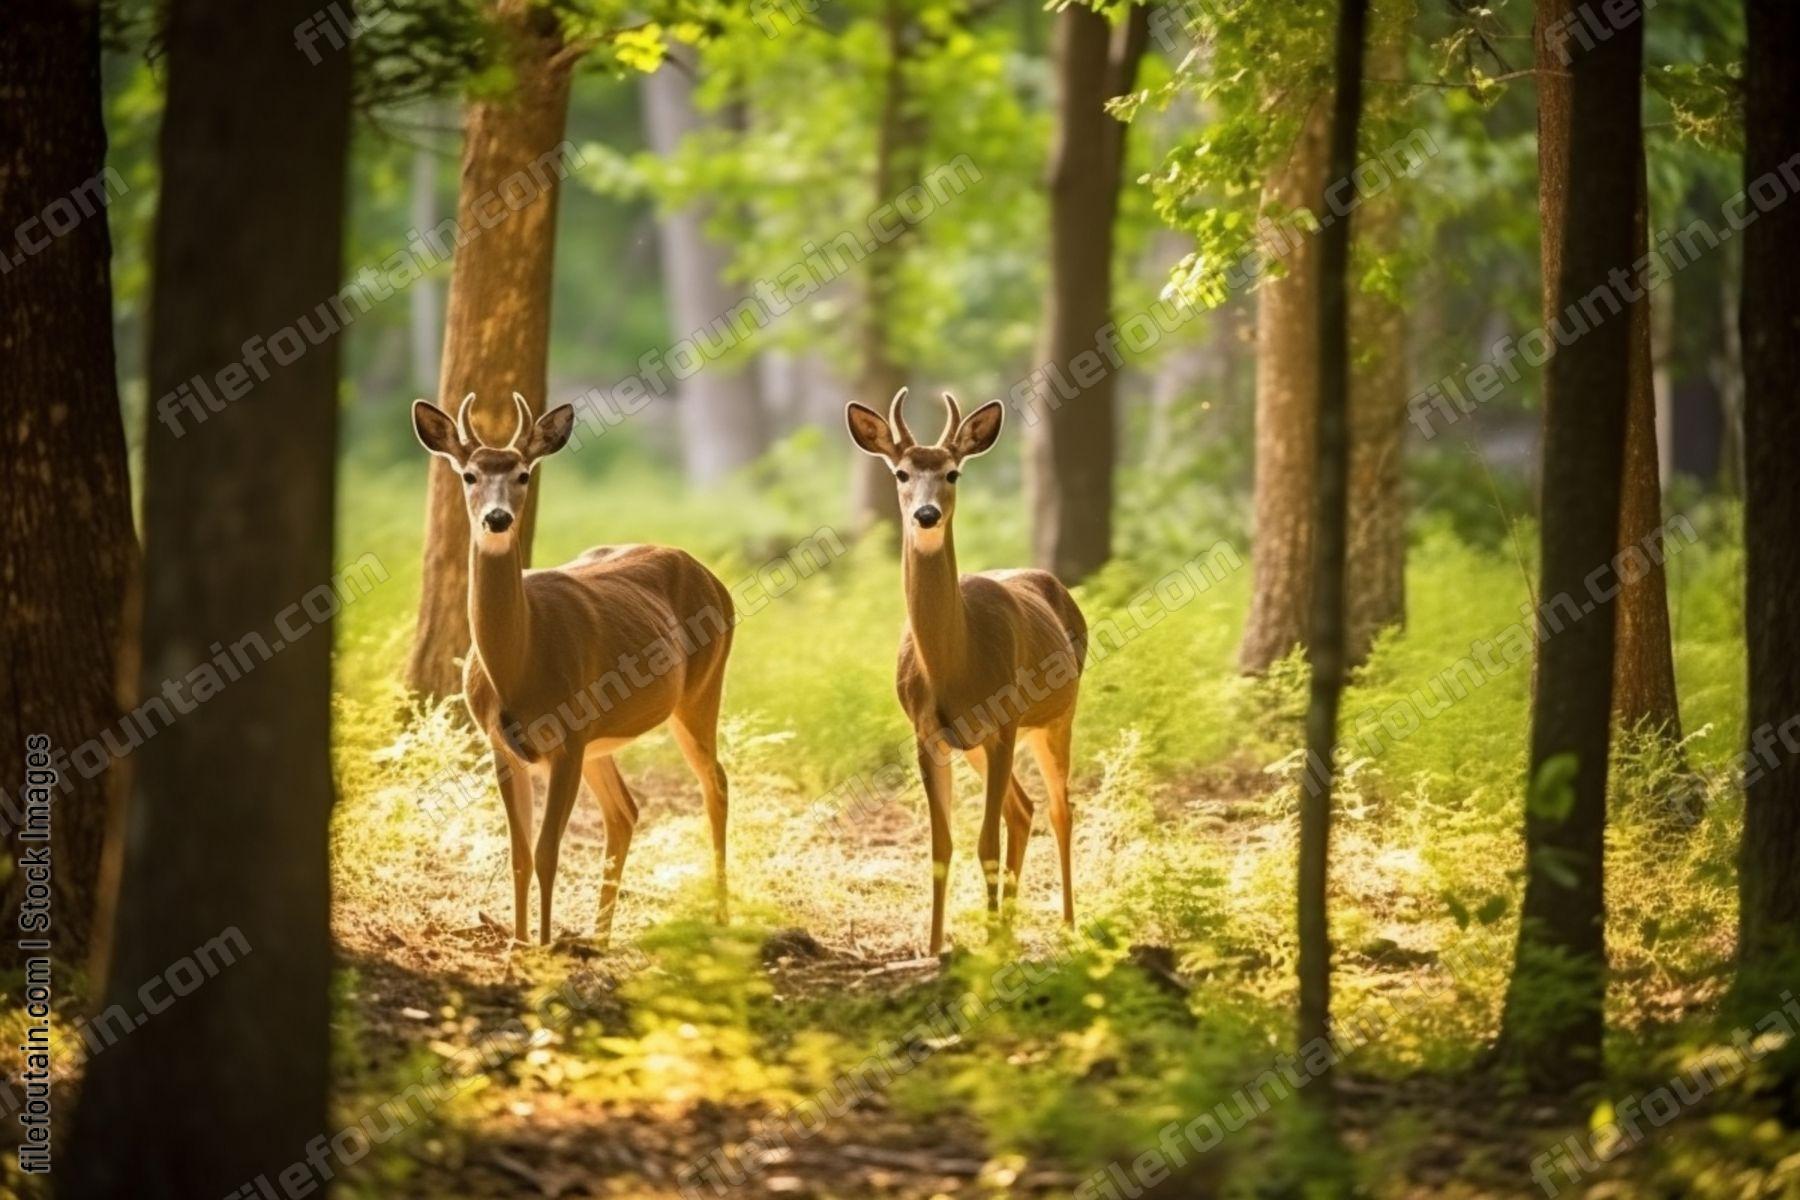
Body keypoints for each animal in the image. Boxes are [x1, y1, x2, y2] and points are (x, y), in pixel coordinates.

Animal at [413, 393, 735, 948]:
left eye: (523, 474)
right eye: (470, 474)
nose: (497, 518)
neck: (519, 667)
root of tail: (716, 581)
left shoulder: (567, 739)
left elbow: (546, 851)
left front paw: (542, 945)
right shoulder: (501, 745)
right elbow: (519, 854)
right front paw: (520, 941)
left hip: (697, 694)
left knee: (715, 783)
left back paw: (720, 917)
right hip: (600, 740)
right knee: (625, 811)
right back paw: (598, 937)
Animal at [846, 389, 1088, 955]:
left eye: (953, 472)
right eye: (900, 473)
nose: (926, 514)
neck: (955, 666)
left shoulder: (1003, 724)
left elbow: (986, 844)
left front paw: (986, 947)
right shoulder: (926, 734)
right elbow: (942, 847)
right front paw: (936, 948)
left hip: (1055, 717)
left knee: (1060, 810)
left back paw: (1066, 925)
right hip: (978, 743)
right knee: (1023, 809)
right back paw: (1010, 928)